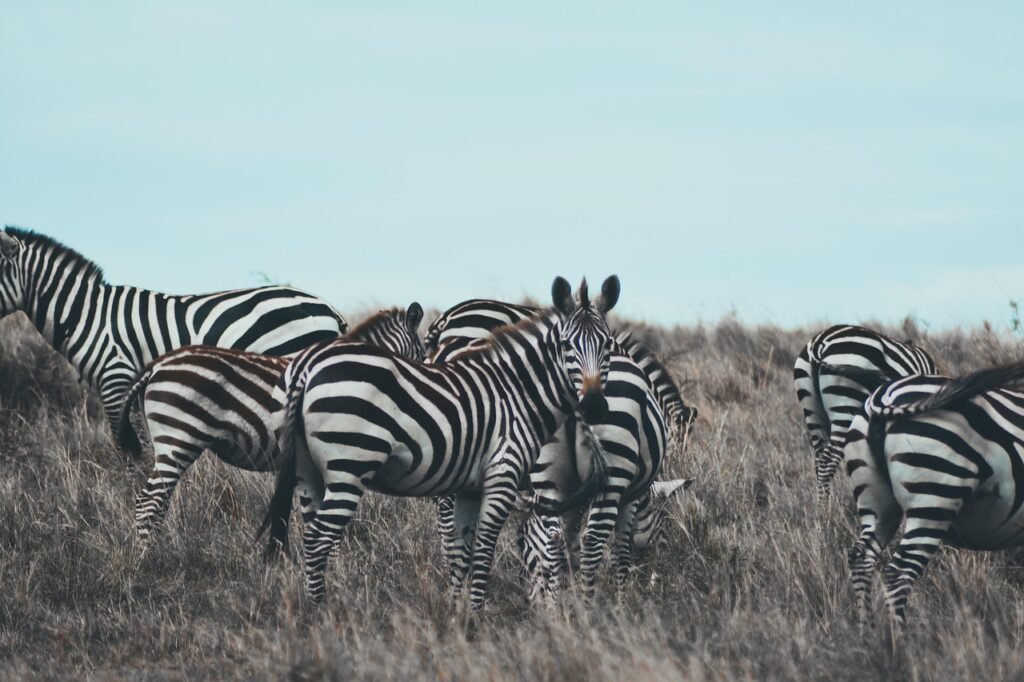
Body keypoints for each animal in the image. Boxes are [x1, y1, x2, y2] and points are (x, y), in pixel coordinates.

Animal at [116, 304, 424, 544]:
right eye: (422, 356)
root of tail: (156, 365)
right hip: (178, 441)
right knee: (148, 502)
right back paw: (149, 556)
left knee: (156, 501)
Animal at [259, 275, 621, 609]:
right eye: (567, 346)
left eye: (607, 345)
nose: (593, 405)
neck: (517, 391)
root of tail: (307, 368)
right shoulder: (502, 475)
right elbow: (486, 548)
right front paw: (477, 614)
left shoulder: (469, 486)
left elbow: (463, 549)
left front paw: (456, 612)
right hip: (349, 465)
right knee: (319, 538)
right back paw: (321, 612)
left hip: (309, 471)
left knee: (311, 534)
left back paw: (316, 607)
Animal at [793, 324, 937, 499]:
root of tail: (819, 343)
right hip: (845, 409)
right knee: (828, 461)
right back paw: (826, 507)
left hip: (812, 412)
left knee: (819, 459)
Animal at [843, 360, 1024, 629]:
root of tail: (884, 396)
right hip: (934, 496)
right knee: (898, 574)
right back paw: (901, 638)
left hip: (876, 502)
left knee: (861, 558)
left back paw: (868, 632)